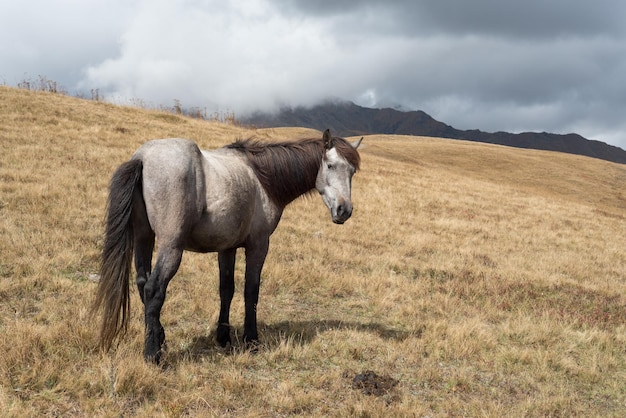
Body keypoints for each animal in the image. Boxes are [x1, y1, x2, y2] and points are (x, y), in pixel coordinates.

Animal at [89, 129, 360, 364]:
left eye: (352, 171)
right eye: (330, 165)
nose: (344, 211)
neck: (262, 179)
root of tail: (142, 158)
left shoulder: (227, 248)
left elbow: (226, 290)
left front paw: (223, 337)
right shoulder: (258, 245)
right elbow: (251, 291)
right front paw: (251, 341)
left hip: (144, 239)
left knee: (142, 283)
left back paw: (161, 339)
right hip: (171, 246)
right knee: (154, 289)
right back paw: (153, 354)